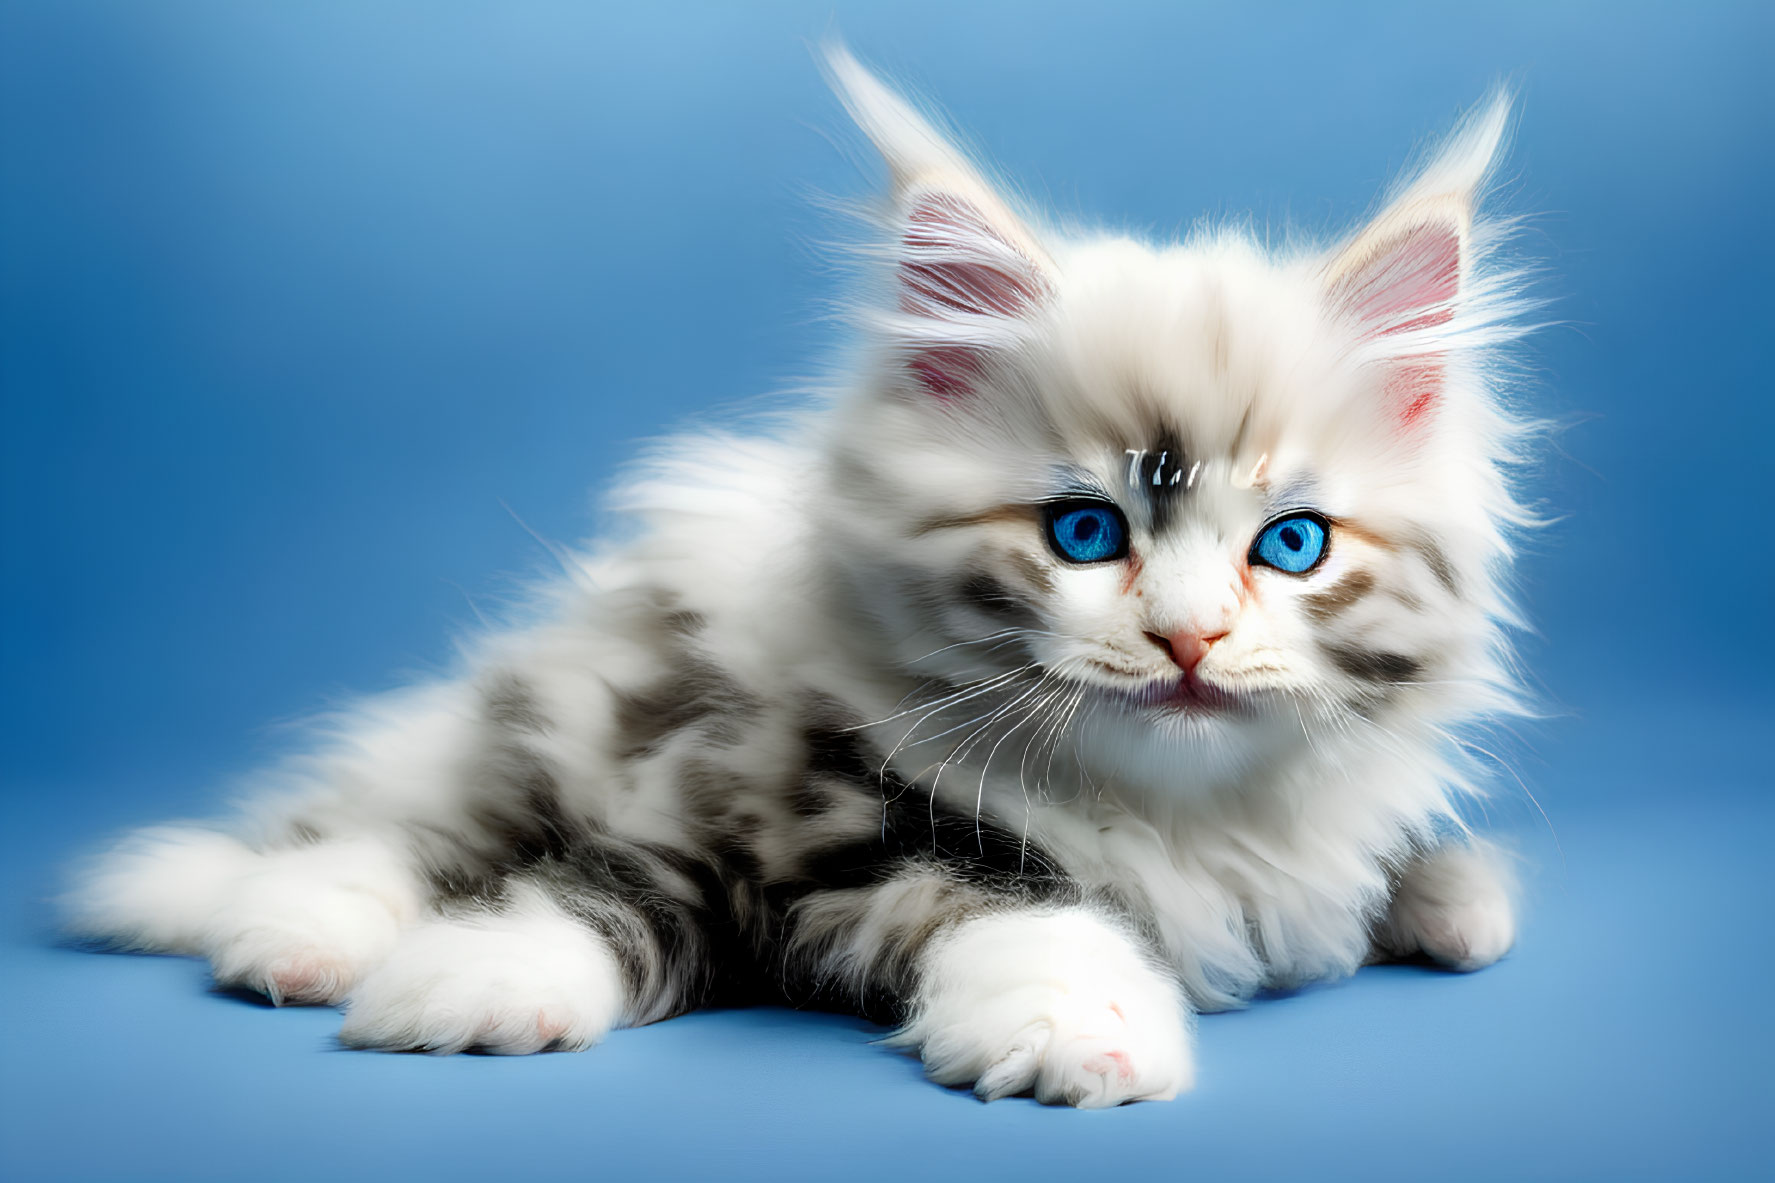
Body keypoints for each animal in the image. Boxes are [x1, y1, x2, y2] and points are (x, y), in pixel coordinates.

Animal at [65, 50, 1540, 1108]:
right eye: (1083, 533)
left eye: (1289, 545)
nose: (1187, 640)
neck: (1168, 813)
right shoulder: (742, 802)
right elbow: (635, 888)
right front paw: (472, 979)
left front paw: (1446, 898)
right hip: (569, 714)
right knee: (423, 825)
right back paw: (286, 926)